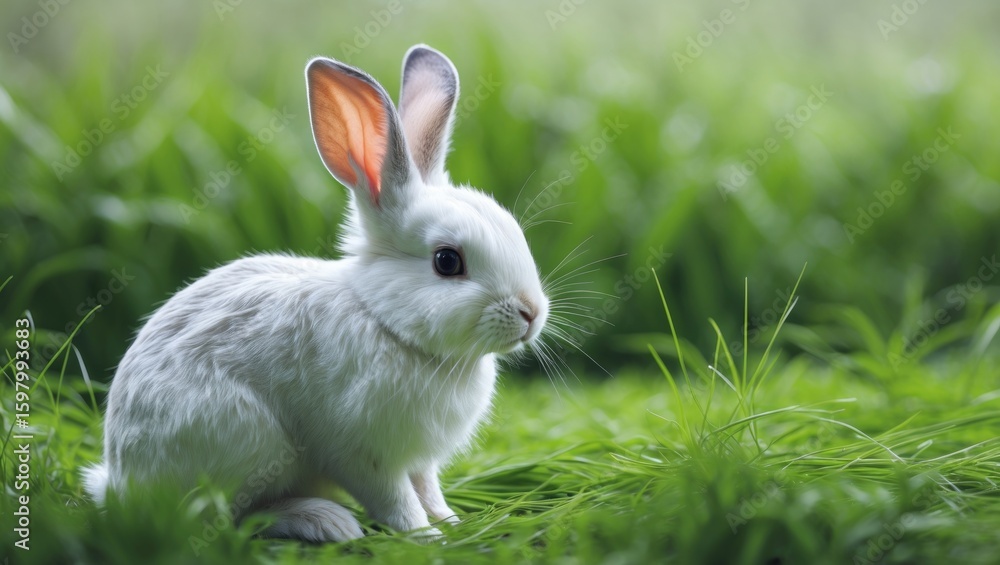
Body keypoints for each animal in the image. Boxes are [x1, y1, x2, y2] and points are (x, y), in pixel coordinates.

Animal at [82, 44, 549, 542]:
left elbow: (427, 488)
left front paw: (450, 521)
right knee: (224, 519)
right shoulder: (362, 453)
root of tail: (120, 481)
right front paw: (427, 537)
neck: (386, 323)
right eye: (447, 261)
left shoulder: (418, 460)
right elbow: (397, 500)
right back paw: (325, 521)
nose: (531, 313)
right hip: (250, 442)